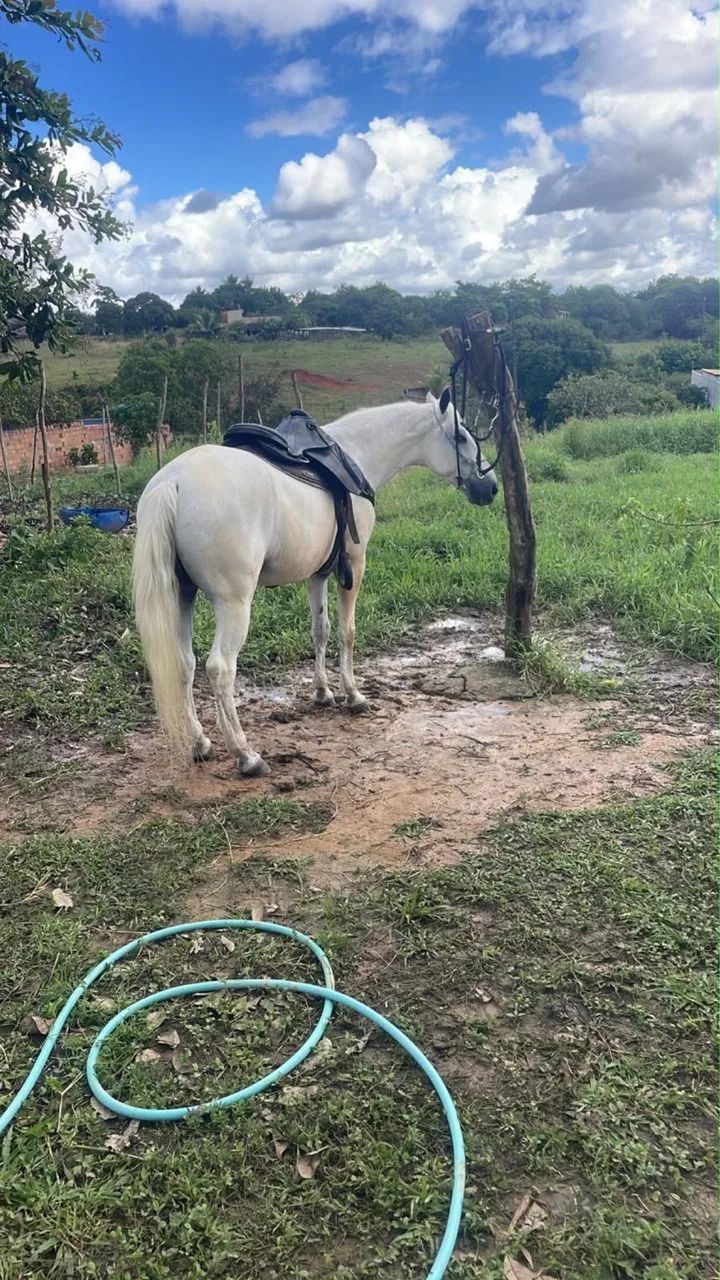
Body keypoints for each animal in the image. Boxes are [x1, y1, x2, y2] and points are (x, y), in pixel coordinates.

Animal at [132, 388, 498, 776]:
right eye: (460, 436)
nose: (490, 488)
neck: (357, 453)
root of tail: (173, 482)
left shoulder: (318, 574)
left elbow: (320, 630)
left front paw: (323, 693)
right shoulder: (354, 566)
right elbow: (347, 632)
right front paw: (353, 695)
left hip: (182, 596)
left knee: (183, 663)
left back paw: (200, 743)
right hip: (233, 604)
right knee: (220, 669)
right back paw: (245, 754)